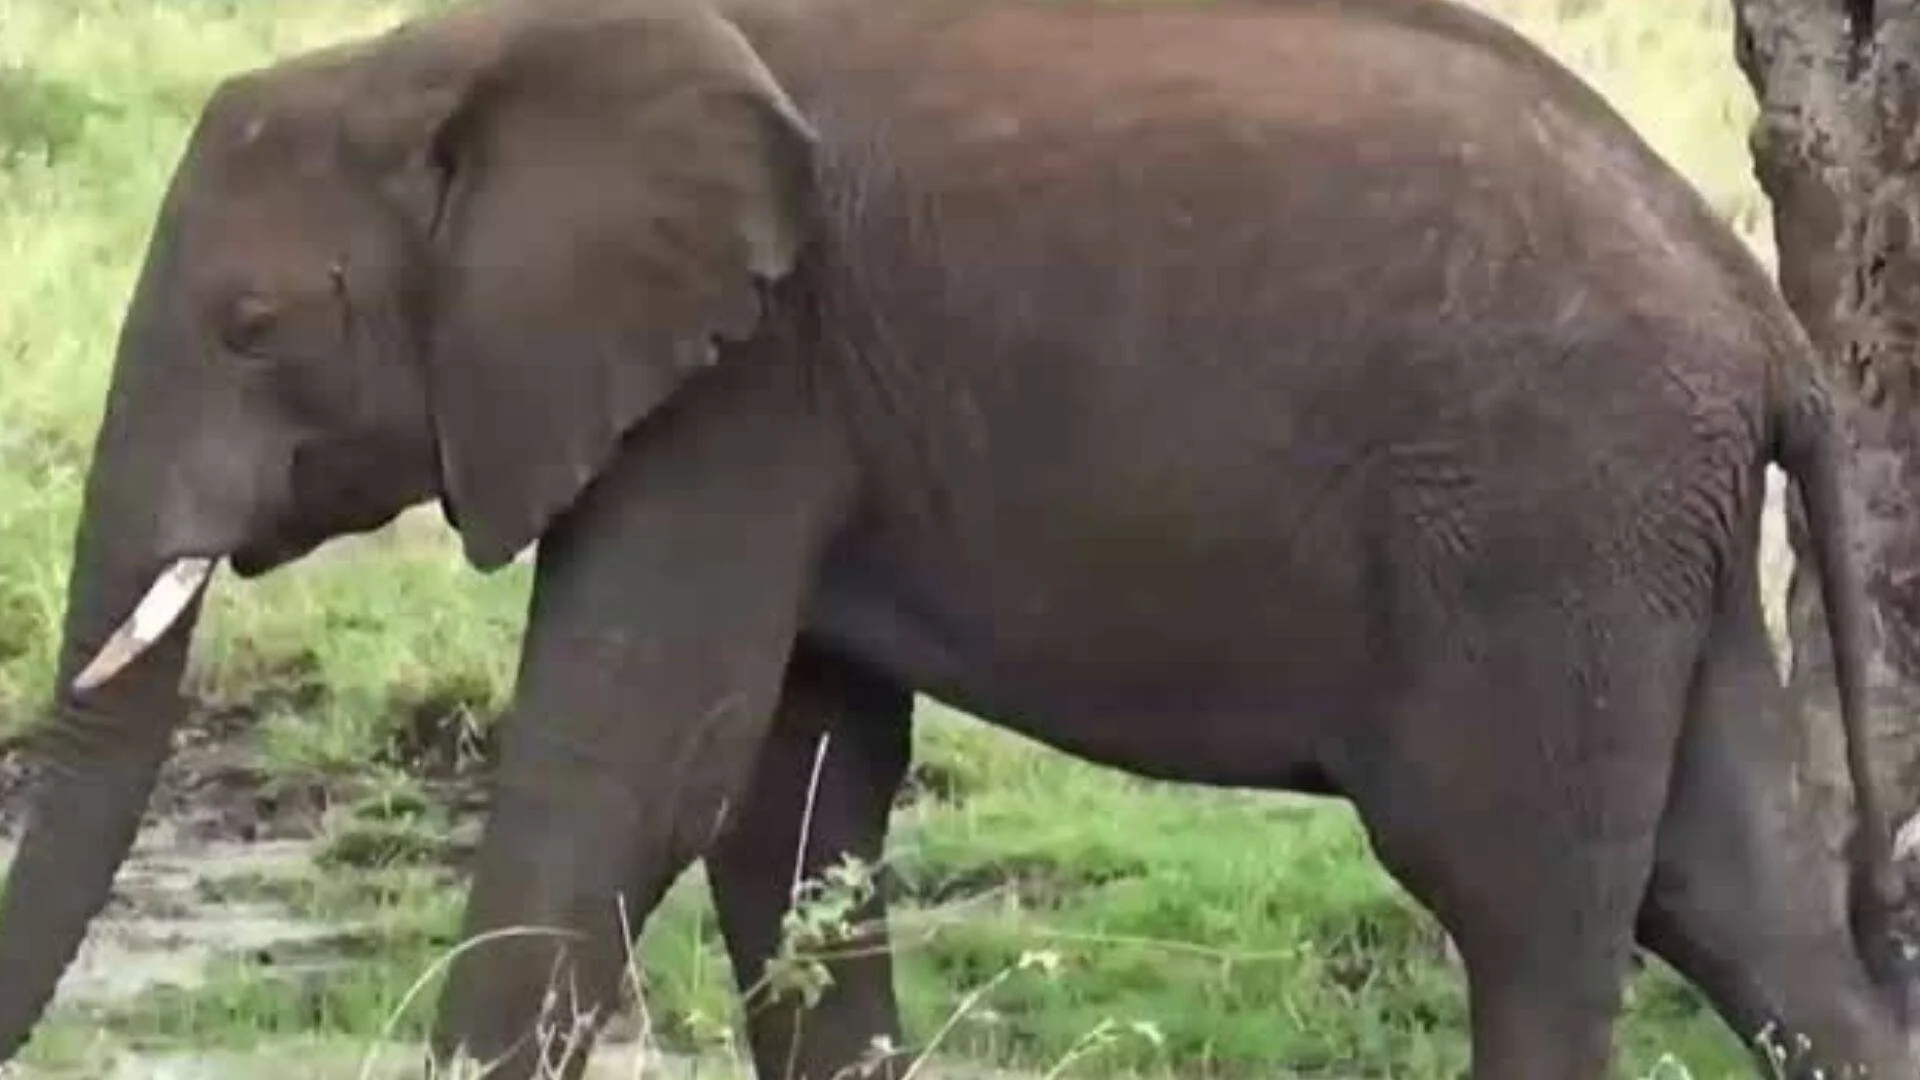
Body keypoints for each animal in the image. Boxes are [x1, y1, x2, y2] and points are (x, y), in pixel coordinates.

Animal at [0, 0, 1914, 1076]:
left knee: (1527, 913)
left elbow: (632, 770)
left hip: (1538, 528)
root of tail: (1770, 330)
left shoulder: (747, 383)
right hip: (1638, 538)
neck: (463, 50)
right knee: (1740, 909)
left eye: (251, 328)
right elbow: (787, 805)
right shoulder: (787, 406)